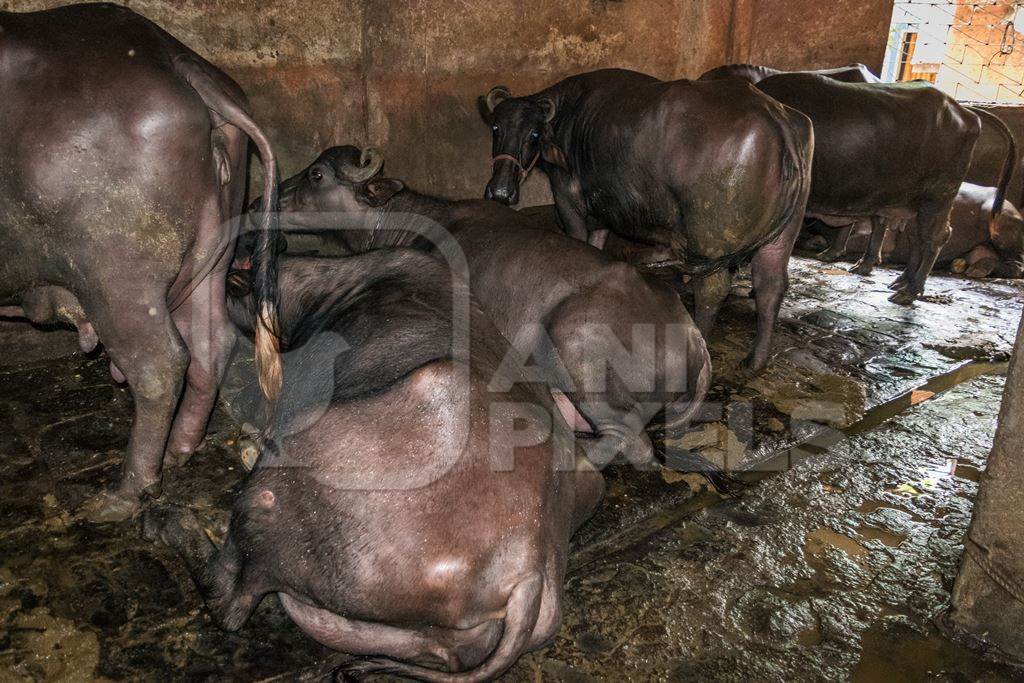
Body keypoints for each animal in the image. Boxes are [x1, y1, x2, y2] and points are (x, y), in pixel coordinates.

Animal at [0, 3, 280, 524]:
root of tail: (178, 62)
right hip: (214, 247)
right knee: (211, 344)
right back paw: (178, 453)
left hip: (116, 269)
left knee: (160, 364)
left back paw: (119, 497)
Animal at [481, 68, 815, 374]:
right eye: (496, 128)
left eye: (534, 135)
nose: (500, 192)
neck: (569, 118)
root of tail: (778, 118)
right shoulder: (605, 207)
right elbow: (596, 246)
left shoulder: (567, 199)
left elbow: (577, 240)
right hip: (782, 235)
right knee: (770, 285)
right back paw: (755, 361)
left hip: (712, 239)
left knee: (713, 289)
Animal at [757, 73, 1011, 303]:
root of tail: (964, 112)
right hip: (912, 202)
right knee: (915, 237)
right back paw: (895, 277)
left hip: (938, 196)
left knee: (935, 237)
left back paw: (910, 291)